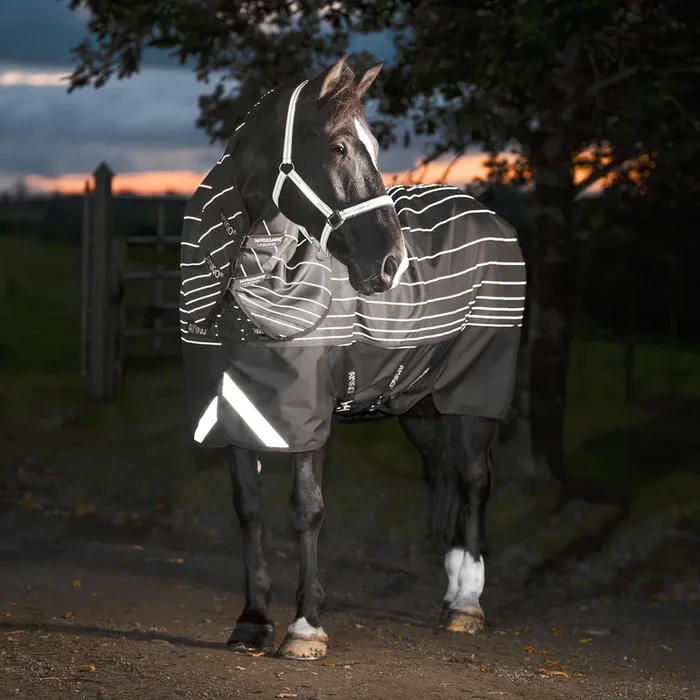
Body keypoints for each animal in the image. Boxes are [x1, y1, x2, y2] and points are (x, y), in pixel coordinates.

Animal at [179, 55, 526, 660]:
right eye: (339, 147)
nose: (390, 263)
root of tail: (492, 218)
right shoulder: (234, 411)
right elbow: (249, 507)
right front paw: (252, 621)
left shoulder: (309, 415)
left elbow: (307, 507)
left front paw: (305, 627)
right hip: (418, 406)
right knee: (444, 477)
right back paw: (451, 590)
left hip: (474, 397)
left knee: (475, 480)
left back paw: (466, 604)